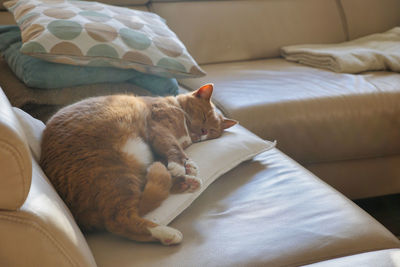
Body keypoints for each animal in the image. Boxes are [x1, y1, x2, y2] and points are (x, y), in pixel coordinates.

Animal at [39, 85, 236, 246]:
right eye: (203, 117)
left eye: (212, 131)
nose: (204, 131)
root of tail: (80, 214)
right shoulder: (158, 126)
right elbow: (173, 146)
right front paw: (181, 165)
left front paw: (187, 167)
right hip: (115, 171)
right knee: (120, 219)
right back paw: (168, 233)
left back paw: (188, 184)